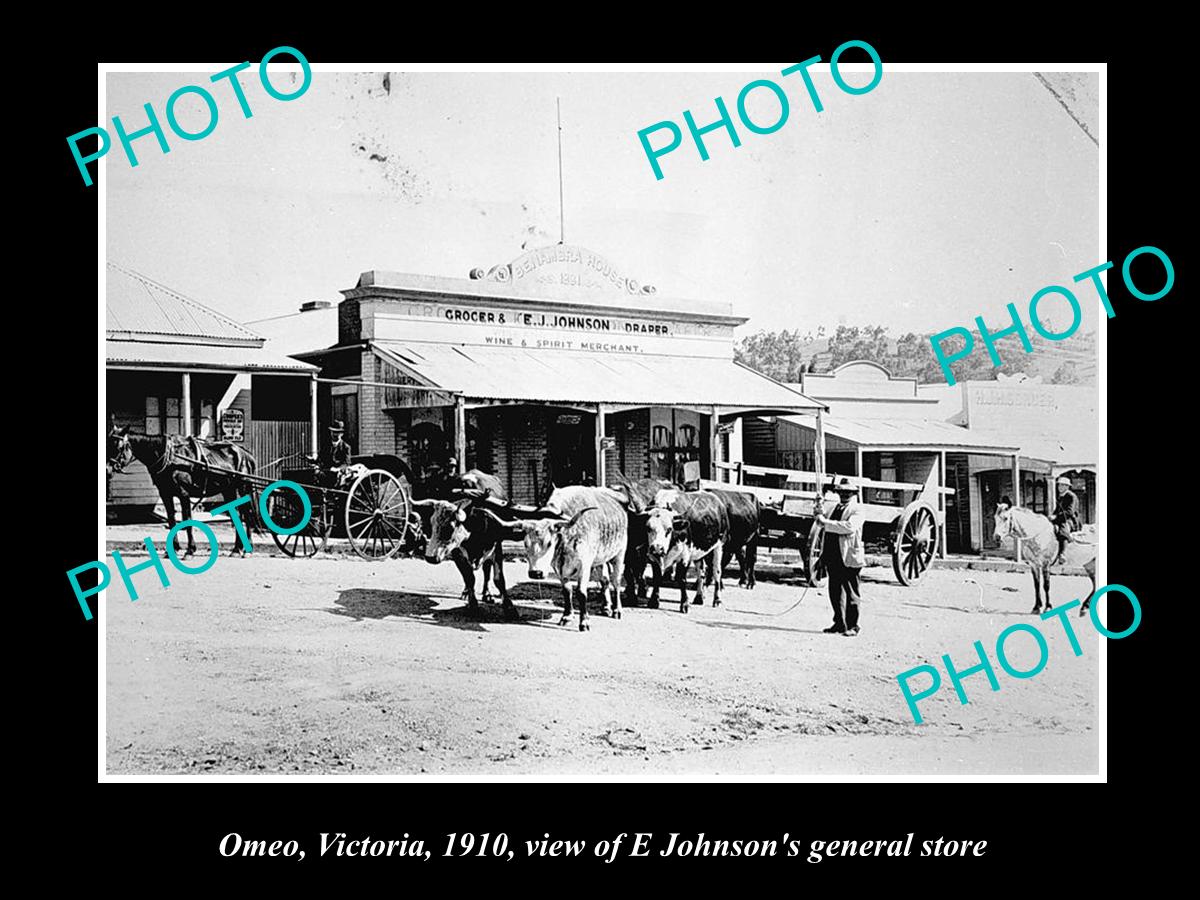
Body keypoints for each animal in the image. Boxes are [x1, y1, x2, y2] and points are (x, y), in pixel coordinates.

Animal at [106, 422, 262, 556]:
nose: (107, 470)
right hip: (229, 490)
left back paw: (247, 549)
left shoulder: (184, 494)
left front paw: (190, 550)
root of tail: (245, 453)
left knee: (247, 514)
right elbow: (171, 520)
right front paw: (173, 549)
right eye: (108, 444)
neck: (171, 457)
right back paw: (238, 548)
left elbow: (187, 520)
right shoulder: (166, 494)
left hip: (242, 488)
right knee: (239, 515)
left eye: (119, 447)